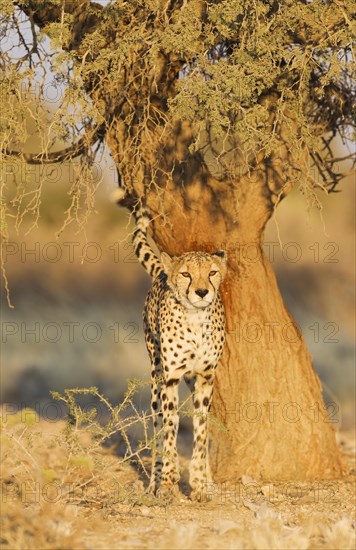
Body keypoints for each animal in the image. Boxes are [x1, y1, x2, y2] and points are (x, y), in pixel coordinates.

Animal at [132, 209, 227, 502]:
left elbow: (201, 433)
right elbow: (170, 431)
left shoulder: (205, 378)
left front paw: (199, 484)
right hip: (156, 375)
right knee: (158, 425)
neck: (195, 318)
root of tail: (164, 270)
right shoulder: (171, 378)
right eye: (186, 274)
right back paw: (155, 482)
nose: (201, 292)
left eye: (212, 272)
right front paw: (169, 482)